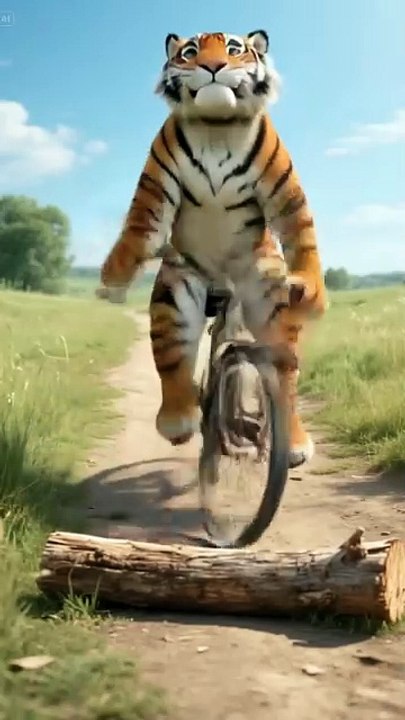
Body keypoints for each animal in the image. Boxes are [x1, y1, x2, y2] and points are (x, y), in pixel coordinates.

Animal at [98, 30, 327, 468]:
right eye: (190, 52)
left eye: (234, 49)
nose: (214, 66)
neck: (217, 126)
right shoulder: (156, 186)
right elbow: (141, 224)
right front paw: (112, 280)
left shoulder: (284, 189)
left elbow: (300, 227)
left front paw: (314, 291)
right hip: (176, 289)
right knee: (172, 357)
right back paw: (177, 420)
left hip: (268, 293)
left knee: (285, 371)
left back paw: (293, 444)